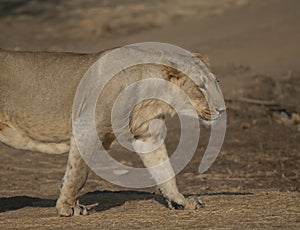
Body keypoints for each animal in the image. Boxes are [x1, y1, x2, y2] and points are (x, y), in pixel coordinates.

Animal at [0, 47, 225, 216]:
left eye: (216, 82)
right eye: (201, 86)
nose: (222, 110)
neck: (155, 97)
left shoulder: (147, 136)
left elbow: (165, 171)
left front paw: (180, 201)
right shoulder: (86, 126)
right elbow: (78, 173)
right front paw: (68, 207)